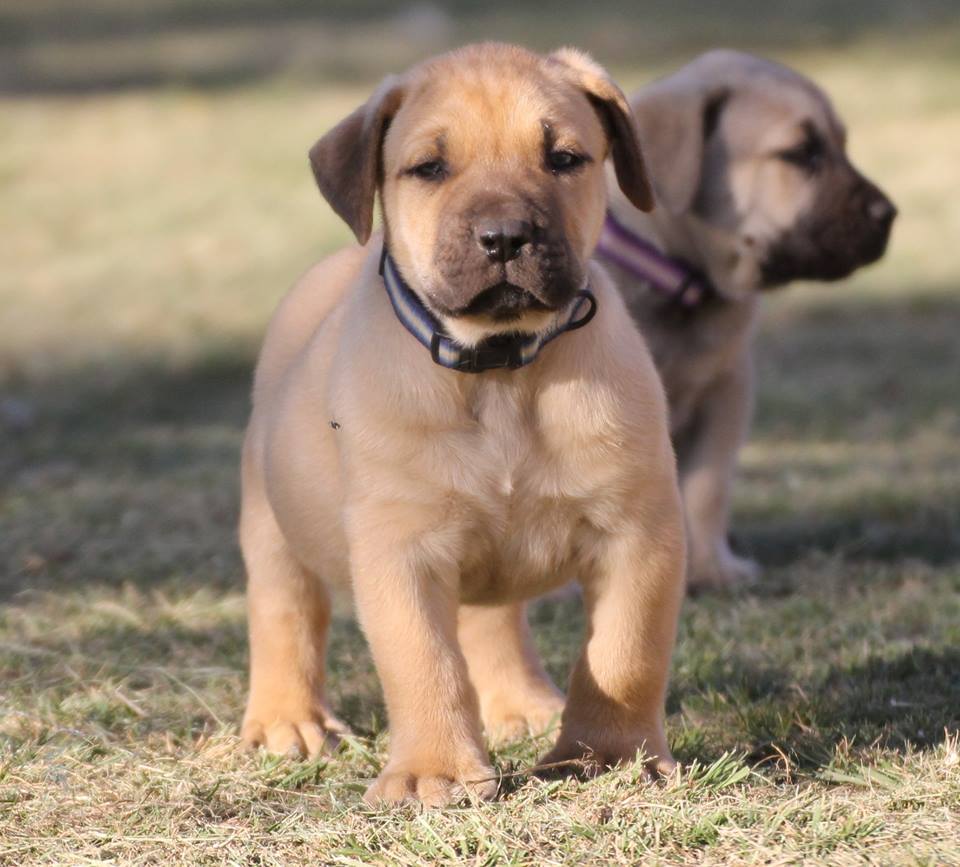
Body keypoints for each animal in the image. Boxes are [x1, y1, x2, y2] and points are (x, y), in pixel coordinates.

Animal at [239, 43, 686, 807]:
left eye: (564, 158)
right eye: (429, 168)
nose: (505, 237)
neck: (501, 369)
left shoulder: (638, 532)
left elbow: (623, 654)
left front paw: (608, 757)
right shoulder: (400, 549)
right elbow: (423, 660)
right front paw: (434, 771)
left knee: (490, 619)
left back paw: (520, 706)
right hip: (269, 517)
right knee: (284, 612)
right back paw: (286, 722)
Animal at [597, 50, 896, 591]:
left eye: (841, 146)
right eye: (801, 154)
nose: (890, 214)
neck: (683, 284)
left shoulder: (728, 391)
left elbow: (707, 488)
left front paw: (714, 568)